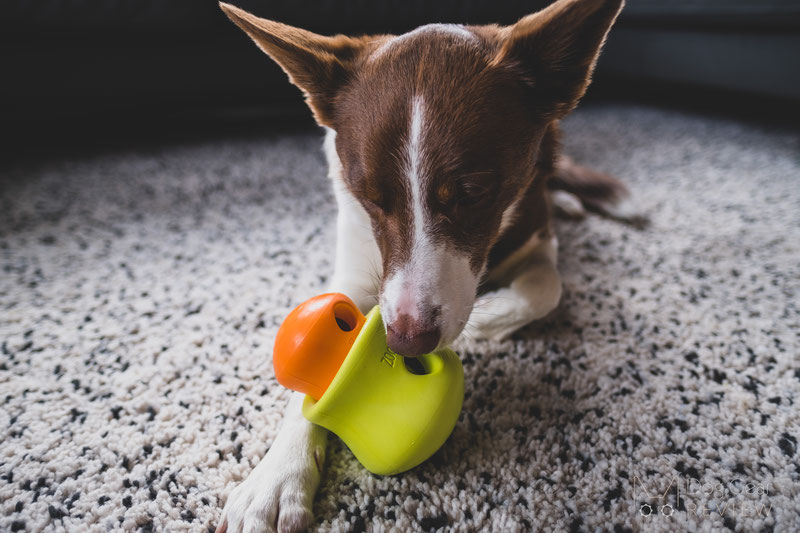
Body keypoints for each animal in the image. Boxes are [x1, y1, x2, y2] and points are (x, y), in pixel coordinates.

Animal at [217, 2, 624, 528]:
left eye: (473, 194)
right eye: (371, 198)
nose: (405, 341)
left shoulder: (535, 233)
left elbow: (545, 288)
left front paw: (485, 322)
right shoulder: (357, 268)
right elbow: (307, 384)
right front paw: (274, 479)